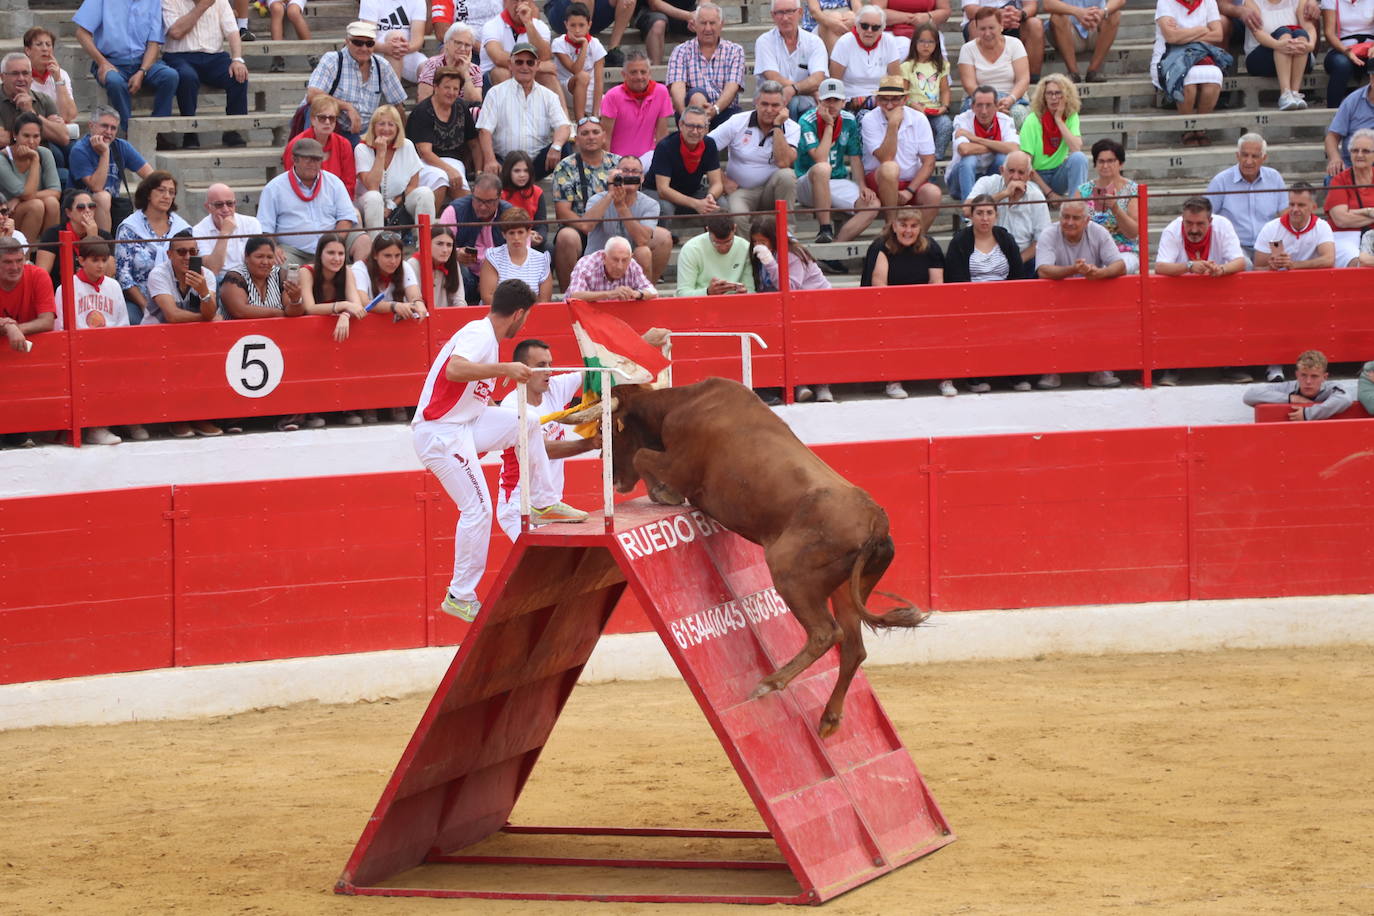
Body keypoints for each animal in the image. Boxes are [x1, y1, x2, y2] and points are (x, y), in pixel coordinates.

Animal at [574, 376, 928, 741]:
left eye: (608, 432)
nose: (609, 476)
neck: (682, 404)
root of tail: (876, 521)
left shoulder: (680, 465)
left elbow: (644, 456)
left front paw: (664, 493)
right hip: (846, 590)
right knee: (854, 647)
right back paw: (829, 717)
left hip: (789, 573)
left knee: (826, 634)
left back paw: (770, 683)